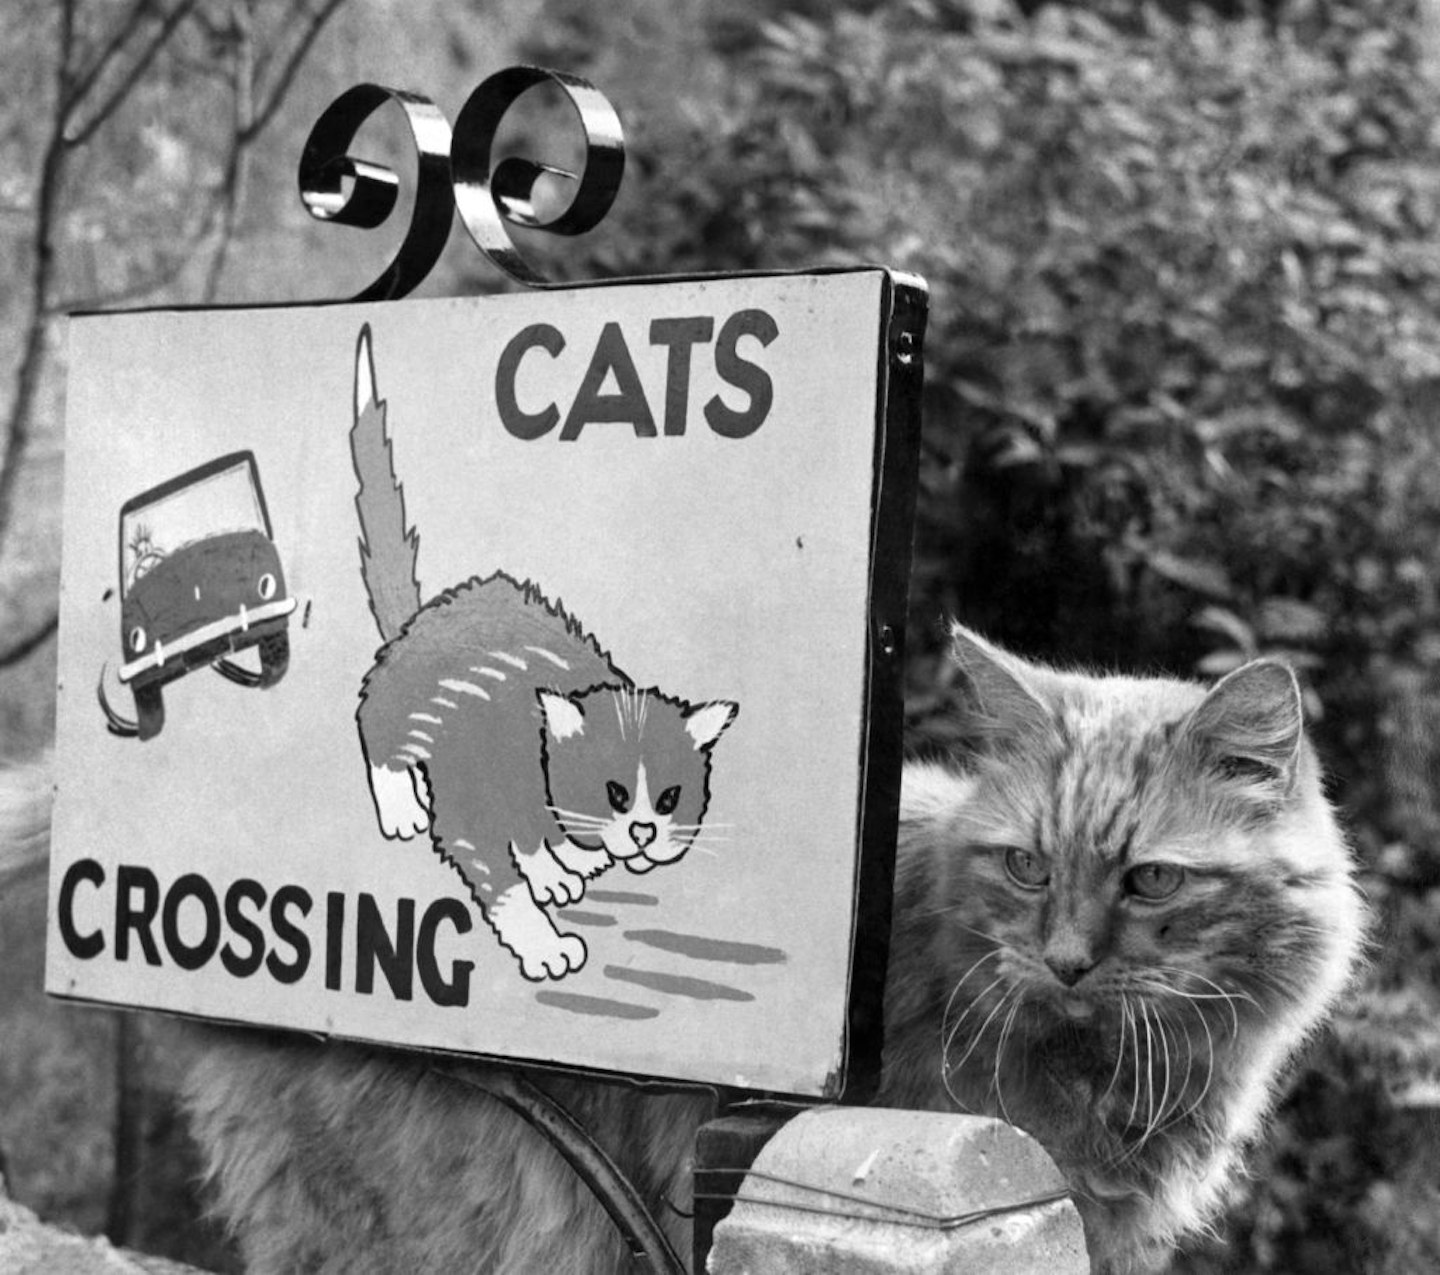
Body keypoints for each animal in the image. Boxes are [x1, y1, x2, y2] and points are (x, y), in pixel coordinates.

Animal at [345, 322, 731, 979]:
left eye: (671, 797)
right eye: (616, 792)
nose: (645, 833)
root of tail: (425, 617)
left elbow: (533, 840)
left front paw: (560, 867)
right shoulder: (470, 801)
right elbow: (503, 885)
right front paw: (544, 944)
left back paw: (559, 867)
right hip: (398, 705)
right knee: (377, 729)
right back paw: (400, 806)